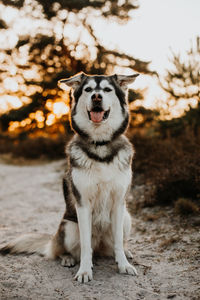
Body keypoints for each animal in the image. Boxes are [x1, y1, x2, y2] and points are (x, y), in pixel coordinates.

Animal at [0, 71, 139, 282]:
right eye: (88, 89)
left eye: (107, 90)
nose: (96, 97)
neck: (100, 145)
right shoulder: (83, 204)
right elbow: (85, 247)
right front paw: (85, 270)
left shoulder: (118, 203)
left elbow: (118, 243)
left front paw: (123, 264)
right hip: (68, 227)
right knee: (65, 250)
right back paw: (67, 258)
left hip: (126, 218)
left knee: (116, 244)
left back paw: (125, 251)